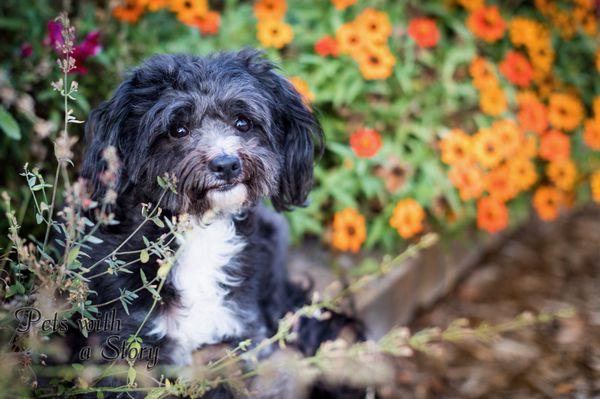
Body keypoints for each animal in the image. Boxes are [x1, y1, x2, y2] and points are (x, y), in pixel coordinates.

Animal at [74, 50, 360, 396]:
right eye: (177, 129)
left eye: (243, 122)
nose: (226, 164)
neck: (199, 231)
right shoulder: (129, 343)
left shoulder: (237, 337)